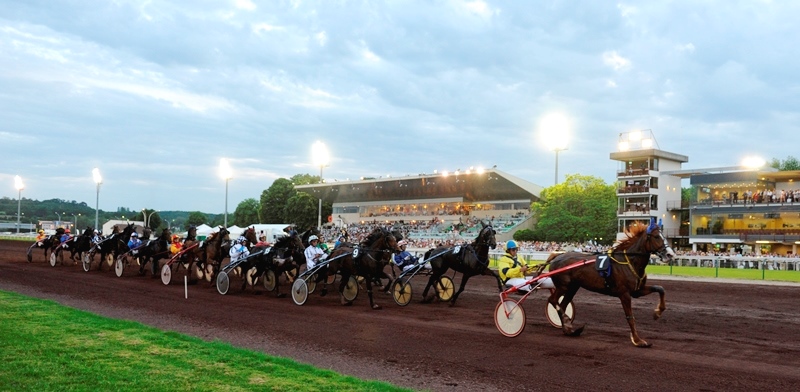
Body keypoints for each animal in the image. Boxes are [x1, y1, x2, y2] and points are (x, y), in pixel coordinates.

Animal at [548, 217, 672, 350]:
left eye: (664, 236)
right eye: (656, 236)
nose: (670, 254)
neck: (630, 261)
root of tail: (557, 257)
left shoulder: (637, 291)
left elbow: (660, 288)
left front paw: (658, 312)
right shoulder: (624, 294)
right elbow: (630, 317)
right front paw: (638, 340)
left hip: (573, 287)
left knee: (563, 304)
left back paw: (568, 329)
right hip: (563, 286)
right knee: (553, 300)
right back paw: (567, 323)